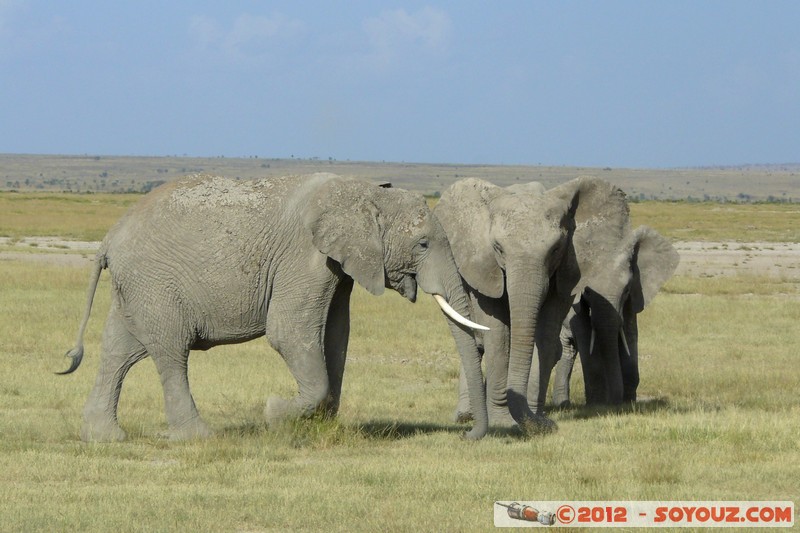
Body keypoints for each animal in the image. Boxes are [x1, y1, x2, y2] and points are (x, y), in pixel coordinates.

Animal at [58, 172, 490, 442]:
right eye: (422, 244)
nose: (468, 433)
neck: (362, 191)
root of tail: (108, 239)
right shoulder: (304, 258)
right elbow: (290, 333)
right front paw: (274, 412)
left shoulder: (338, 268)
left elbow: (336, 336)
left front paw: (318, 425)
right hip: (155, 283)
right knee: (170, 351)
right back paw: (199, 437)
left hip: (136, 288)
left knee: (120, 349)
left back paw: (104, 438)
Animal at [435, 177, 611, 433]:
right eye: (498, 248)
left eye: (556, 249)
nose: (549, 424)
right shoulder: (485, 268)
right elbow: (498, 336)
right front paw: (503, 422)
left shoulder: (567, 270)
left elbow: (546, 336)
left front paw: (536, 418)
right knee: (477, 339)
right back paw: (465, 416)